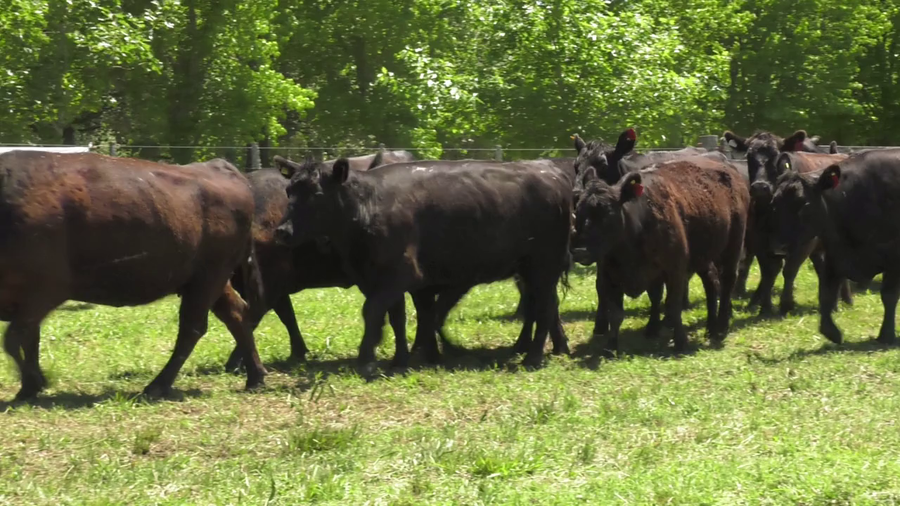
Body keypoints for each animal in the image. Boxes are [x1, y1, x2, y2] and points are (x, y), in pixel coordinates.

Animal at [0, 151, 266, 401]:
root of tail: (222, 169)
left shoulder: (44, 294)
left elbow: (13, 339)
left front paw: (35, 383)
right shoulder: (29, 303)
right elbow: (28, 339)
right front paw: (28, 388)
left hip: (208, 280)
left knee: (192, 327)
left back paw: (157, 386)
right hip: (210, 282)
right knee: (235, 314)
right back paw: (255, 378)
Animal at [272, 156, 573, 368]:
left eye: (317, 194)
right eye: (288, 191)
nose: (282, 231)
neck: (368, 205)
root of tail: (551, 173)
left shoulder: (400, 275)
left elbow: (374, 312)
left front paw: (367, 358)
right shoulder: (384, 281)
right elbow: (399, 317)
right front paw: (402, 359)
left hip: (544, 266)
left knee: (545, 307)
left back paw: (533, 357)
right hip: (530, 269)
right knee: (543, 305)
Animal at [573, 158, 749, 354]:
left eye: (608, 212)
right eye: (578, 210)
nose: (580, 251)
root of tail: (731, 172)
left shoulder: (675, 270)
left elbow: (672, 305)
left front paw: (680, 342)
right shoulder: (612, 276)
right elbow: (619, 313)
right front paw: (614, 345)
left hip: (733, 246)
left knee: (727, 282)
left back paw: (721, 326)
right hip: (704, 257)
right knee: (711, 283)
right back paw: (710, 328)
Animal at [767, 149, 900, 345]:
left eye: (803, 203)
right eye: (774, 202)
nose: (779, 246)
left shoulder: (893, 259)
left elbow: (889, 296)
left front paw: (886, 335)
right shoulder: (835, 256)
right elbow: (826, 292)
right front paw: (831, 331)